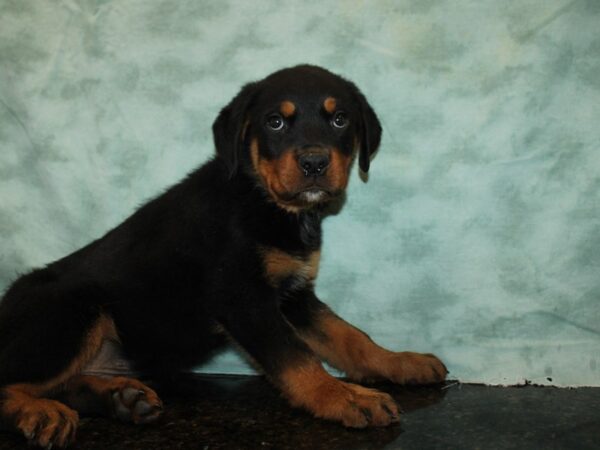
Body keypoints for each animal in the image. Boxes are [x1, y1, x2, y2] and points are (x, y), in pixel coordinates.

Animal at [0, 65, 446, 448]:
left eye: (339, 120)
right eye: (275, 122)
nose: (315, 162)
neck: (266, 201)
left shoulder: (295, 296)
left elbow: (349, 336)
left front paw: (400, 362)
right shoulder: (243, 298)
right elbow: (296, 358)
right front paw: (346, 398)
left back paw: (122, 399)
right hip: (73, 312)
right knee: (9, 382)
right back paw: (42, 412)